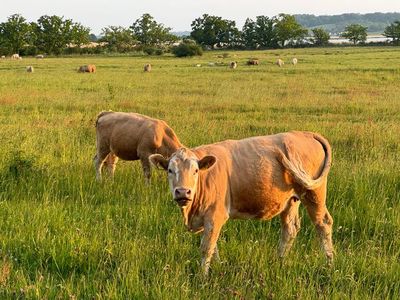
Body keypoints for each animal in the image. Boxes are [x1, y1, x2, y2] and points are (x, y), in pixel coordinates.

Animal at [149, 131, 332, 274]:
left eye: (195, 171)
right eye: (170, 170)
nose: (182, 192)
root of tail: (307, 134)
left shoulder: (215, 215)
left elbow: (207, 247)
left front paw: (203, 277)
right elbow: (213, 246)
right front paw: (218, 267)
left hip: (314, 193)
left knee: (323, 224)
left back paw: (329, 264)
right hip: (291, 200)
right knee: (290, 229)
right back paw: (279, 261)